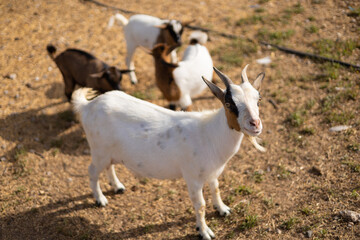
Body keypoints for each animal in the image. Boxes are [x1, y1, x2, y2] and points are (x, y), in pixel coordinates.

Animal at [72, 65, 264, 240]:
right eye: (229, 103)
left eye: (258, 99)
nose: (255, 124)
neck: (209, 133)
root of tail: (87, 106)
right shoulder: (192, 178)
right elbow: (200, 205)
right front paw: (204, 231)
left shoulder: (212, 173)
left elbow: (216, 189)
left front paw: (222, 209)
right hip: (99, 150)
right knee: (92, 170)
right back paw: (100, 199)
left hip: (108, 152)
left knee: (109, 166)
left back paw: (117, 186)